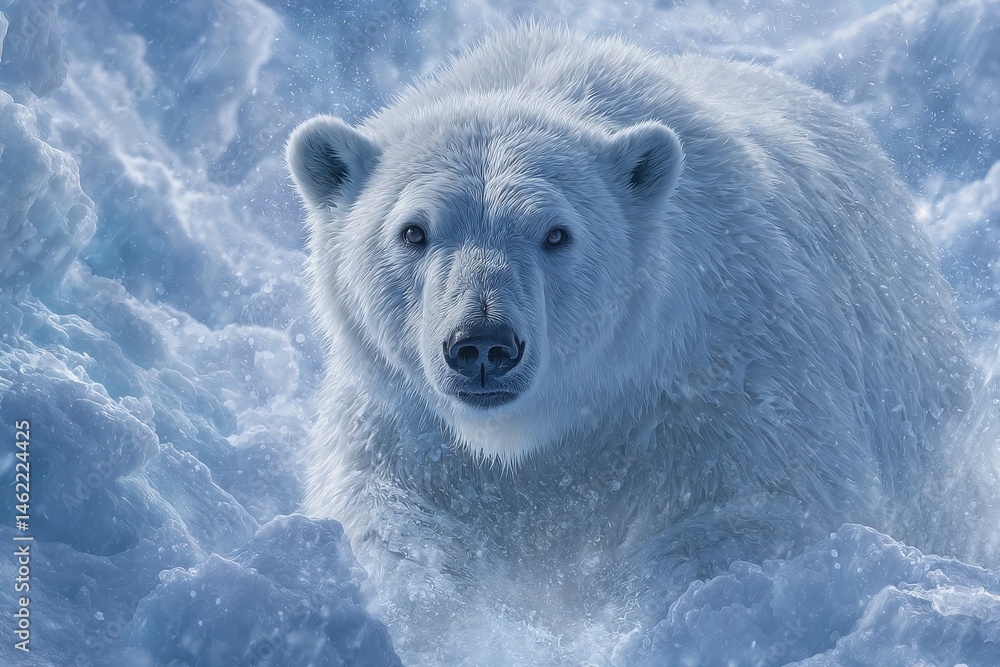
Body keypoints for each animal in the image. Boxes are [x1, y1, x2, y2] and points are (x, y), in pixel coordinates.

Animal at [287, 23, 981, 665]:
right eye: (413, 230)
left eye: (556, 233)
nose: (483, 345)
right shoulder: (406, 416)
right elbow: (381, 512)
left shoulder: (716, 376)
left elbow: (777, 502)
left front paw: (628, 616)